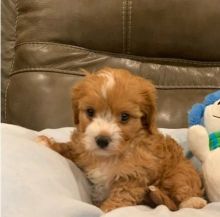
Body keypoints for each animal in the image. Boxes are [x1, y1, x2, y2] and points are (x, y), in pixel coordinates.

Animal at [37, 67, 206, 212]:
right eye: (90, 112)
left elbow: (121, 197)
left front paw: (105, 210)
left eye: (125, 117)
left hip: (179, 171)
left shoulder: (134, 176)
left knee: (183, 187)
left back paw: (193, 201)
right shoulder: (81, 148)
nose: (102, 140)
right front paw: (47, 143)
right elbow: (70, 148)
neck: (108, 156)